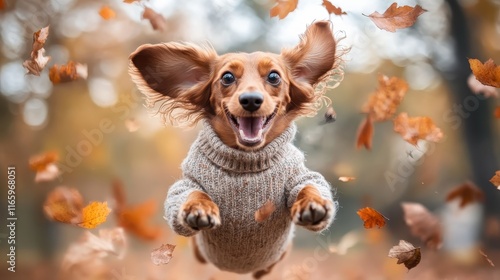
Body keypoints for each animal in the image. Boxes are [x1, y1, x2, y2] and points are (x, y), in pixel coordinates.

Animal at [129, 20, 340, 278]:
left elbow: (309, 185)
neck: (245, 161)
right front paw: (199, 208)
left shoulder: (298, 176)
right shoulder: (187, 183)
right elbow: (191, 193)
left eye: (274, 76)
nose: (251, 100)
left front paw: (313, 204)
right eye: (227, 77)